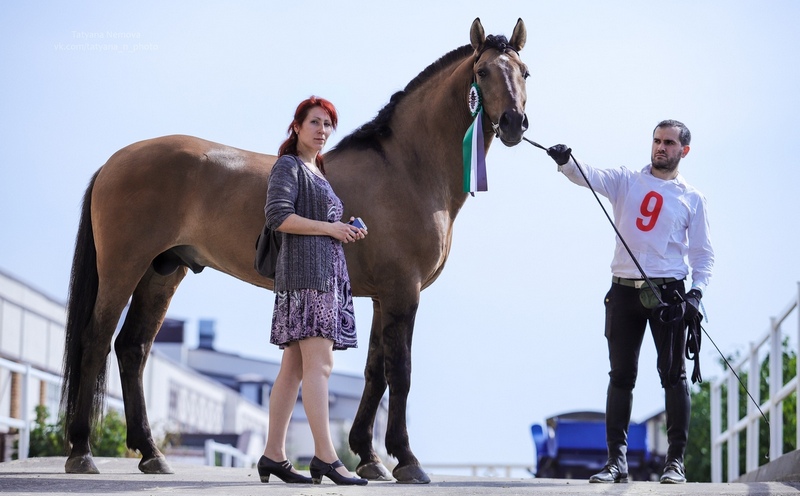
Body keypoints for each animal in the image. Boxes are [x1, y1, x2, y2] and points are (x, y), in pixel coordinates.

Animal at [61, 17, 524, 482]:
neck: (406, 170)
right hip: (124, 267)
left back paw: (150, 453)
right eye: (482, 71)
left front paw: (369, 458)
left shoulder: (382, 297)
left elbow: (375, 372)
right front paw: (407, 461)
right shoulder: (402, 293)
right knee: (96, 340)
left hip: (162, 271)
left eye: (525, 72)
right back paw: (82, 451)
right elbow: (400, 373)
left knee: (132, 348)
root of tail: (114, 162)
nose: (515, 122)